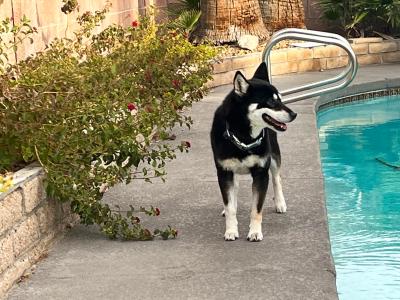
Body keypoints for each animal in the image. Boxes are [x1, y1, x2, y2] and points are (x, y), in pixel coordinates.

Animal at [211, 61, 296, 241]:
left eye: (281, 99)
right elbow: (230, 206)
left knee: (277, 179)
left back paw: (280, 203)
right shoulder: (224, 172)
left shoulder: (261, 173)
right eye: (271, 102)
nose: (294, 114)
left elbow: (256, 209)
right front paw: (231, 230)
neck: (244, 137)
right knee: (234, 189)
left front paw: (255, 232)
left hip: (274, 156)